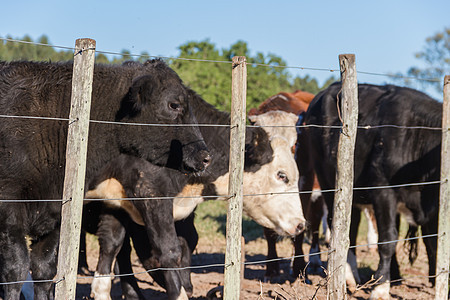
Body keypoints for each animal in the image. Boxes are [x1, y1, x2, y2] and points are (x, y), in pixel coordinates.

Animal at [0, 59, 210, 300]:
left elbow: (44, 269)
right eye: (174, 105)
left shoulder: (56, 214)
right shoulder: (9, 209)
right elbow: (16, 270)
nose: (205, 156)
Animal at [304, 82, 442, 300]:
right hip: (327, 181)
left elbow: (433, 242)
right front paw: (380, 288)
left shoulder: (433, 202)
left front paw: (436, 283)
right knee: (341, 228)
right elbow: (387, 240)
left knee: (351, 226)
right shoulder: (383, 191)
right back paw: (349, 277)